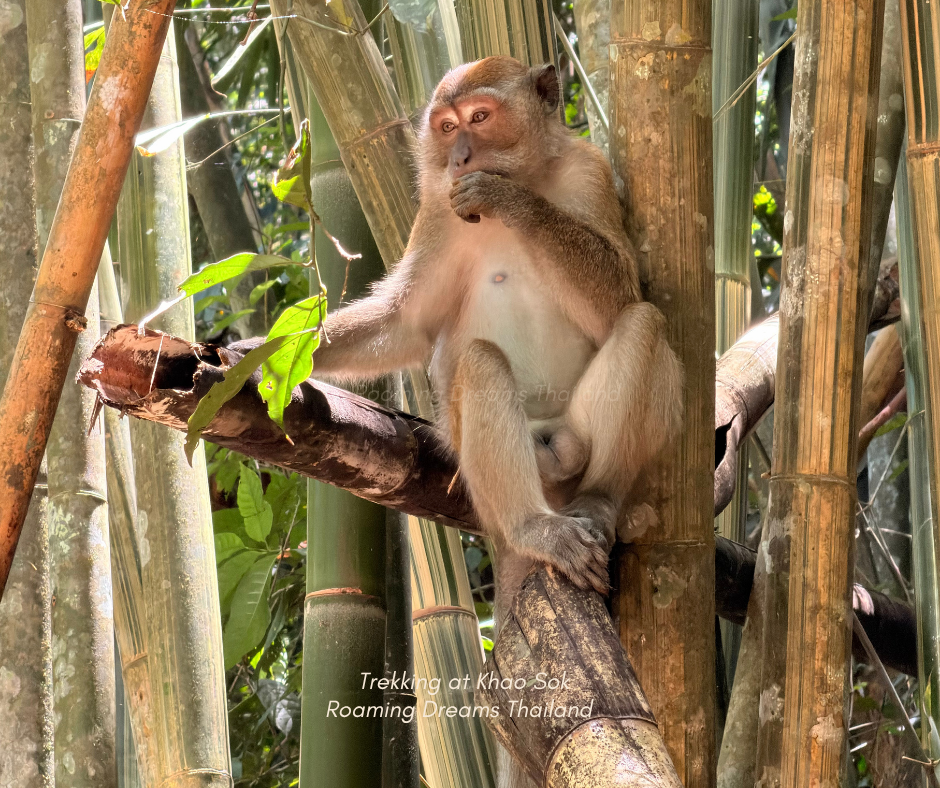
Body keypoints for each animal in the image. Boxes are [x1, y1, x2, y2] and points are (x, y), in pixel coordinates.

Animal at [233, 56, 682, 603]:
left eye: (480, 117)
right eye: (447, 128)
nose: (460, 158)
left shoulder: (589, 170)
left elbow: (622, 297)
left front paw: (509, 198)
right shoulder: (437, 208)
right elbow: (406, 322)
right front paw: (258, 356)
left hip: (573, 432)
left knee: (643, 323)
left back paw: (597, 500)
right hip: (479, 461)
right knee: (482, 361)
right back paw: (533, 527)